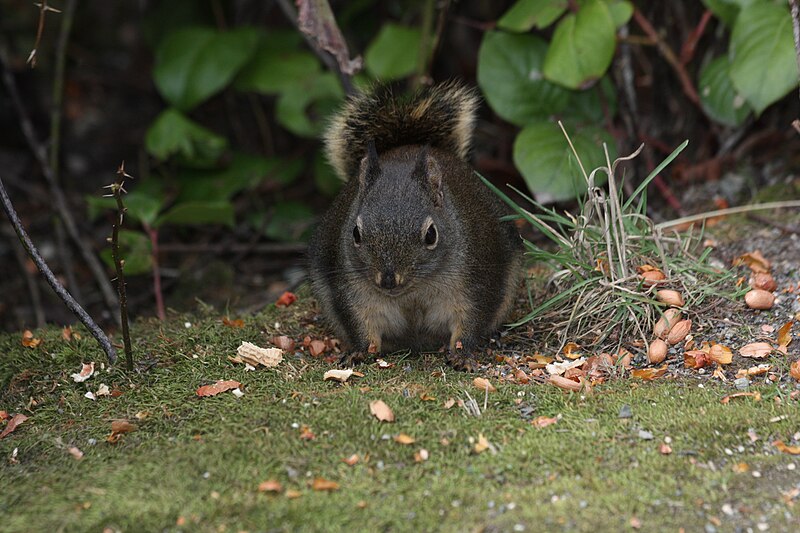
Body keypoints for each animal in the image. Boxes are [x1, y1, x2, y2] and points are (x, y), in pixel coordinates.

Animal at [308, 81, 524, 370]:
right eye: (355, 233)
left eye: (431, 234)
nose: (389, 280)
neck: (413, 291)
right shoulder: (349, 286)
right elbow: (359, 321)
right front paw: (361, 351)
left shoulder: (477, 279)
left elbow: (472, 318)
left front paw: (462, 354)